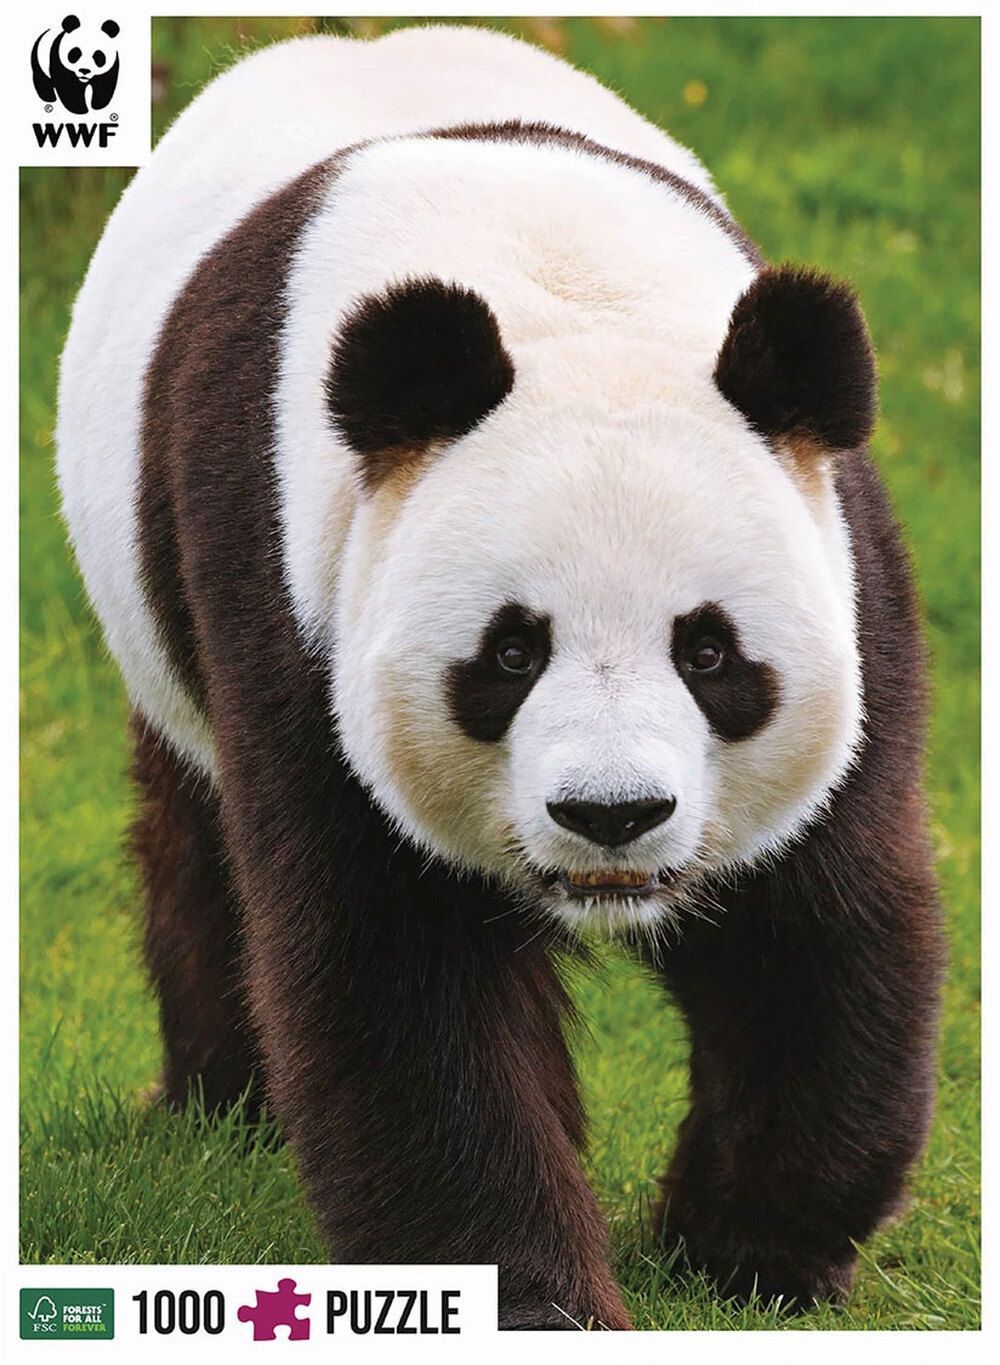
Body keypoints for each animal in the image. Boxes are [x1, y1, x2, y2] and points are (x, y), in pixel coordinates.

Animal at [57, 25, 944, 1330]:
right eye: (510, 654)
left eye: (708, 651)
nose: (611, 815)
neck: (560, 294)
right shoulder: (293, 596)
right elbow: (398, 976)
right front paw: (527, 1298)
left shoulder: (842, 570)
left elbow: (811, 927)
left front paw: (748, 1257)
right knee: (201, 841)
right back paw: (223, 1106)